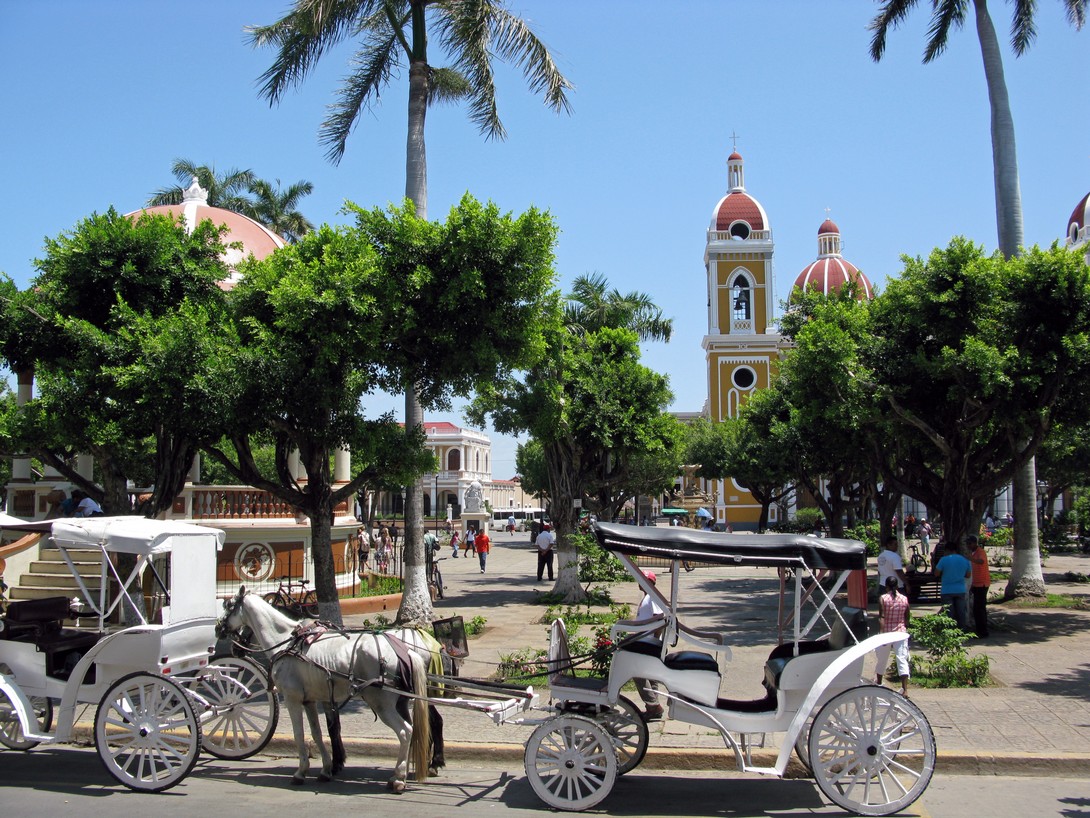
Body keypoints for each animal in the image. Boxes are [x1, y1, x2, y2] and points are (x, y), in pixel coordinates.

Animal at [216, 588, 442, 794]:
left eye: (228, 605)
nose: (218, 629)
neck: (287, 641)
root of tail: (407, 650)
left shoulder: (292, 698)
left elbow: (299, 734)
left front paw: (301, 772)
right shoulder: (310, 700)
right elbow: (317, 733)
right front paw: (326, 769)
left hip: (382, 704)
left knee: (405, 731)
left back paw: (399, 778)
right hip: (400, 702)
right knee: (413, 731)